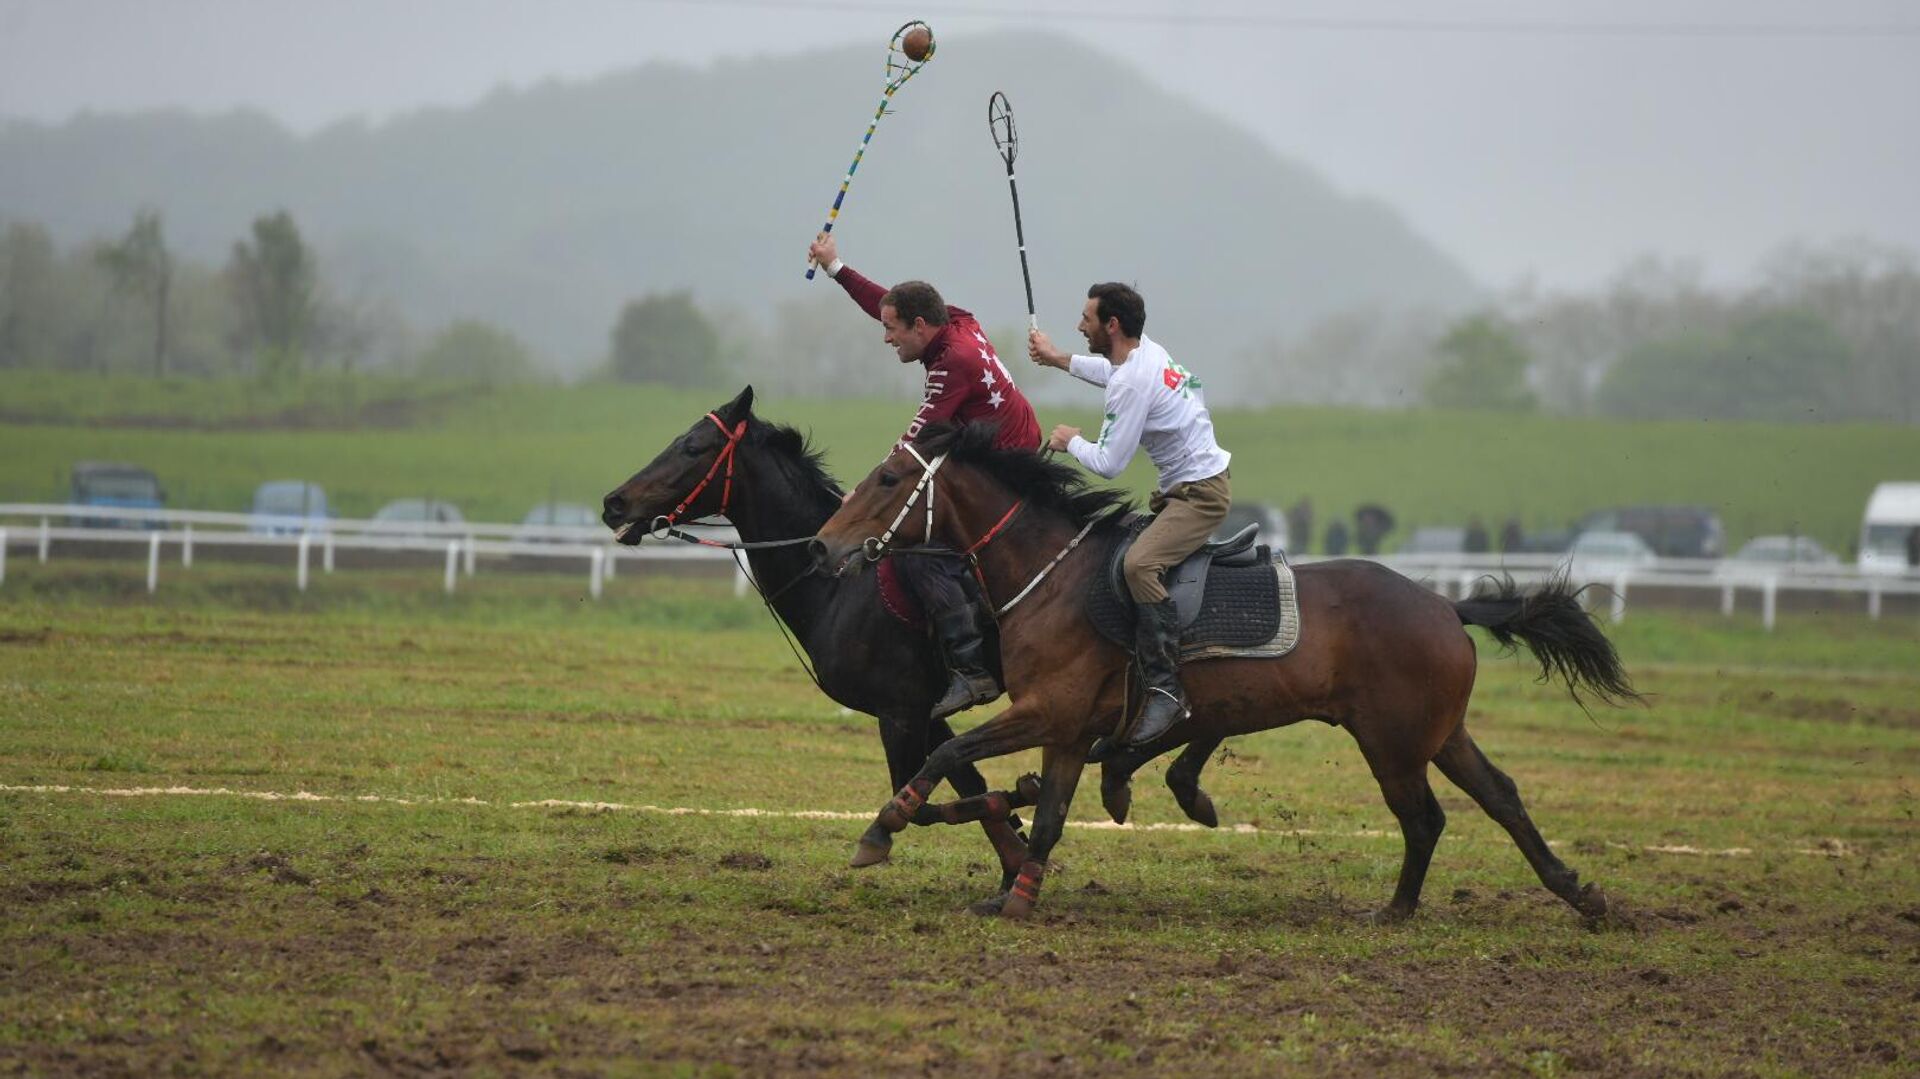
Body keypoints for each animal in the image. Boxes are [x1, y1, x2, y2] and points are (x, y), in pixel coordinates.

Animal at [806, 422, 1635, 913]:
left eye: (888, 479)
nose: (822, 545)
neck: (1052, 576)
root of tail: (1445, 605)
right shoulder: (1068, 730)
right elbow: (1045, 817)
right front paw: (1020, 889)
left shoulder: (1047, 711)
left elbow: (945, 753)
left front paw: (882, 828)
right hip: (1440, 734)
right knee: (1501, 796)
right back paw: (1576, 892)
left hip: (1393, 742)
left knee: (1425, 817)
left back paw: (1400, 908)